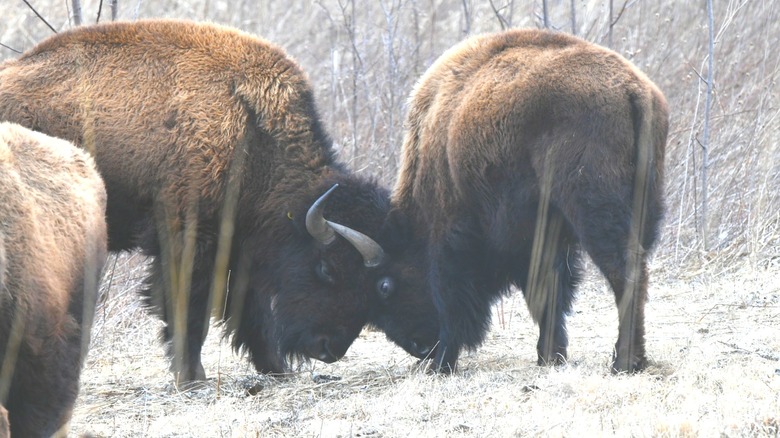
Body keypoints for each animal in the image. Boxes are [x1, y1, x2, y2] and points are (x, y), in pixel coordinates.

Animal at [0, 20, 397, 383]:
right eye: (327, 268)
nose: (329, 349)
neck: (251, 130)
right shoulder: (189, 238)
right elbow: (190, 311)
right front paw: (192, 377)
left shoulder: (238, 248)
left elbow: (248, 313)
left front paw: (276, 370)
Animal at [374, 29, 668, 373]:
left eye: (386, 285)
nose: (420, 348)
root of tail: (632, 89)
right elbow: (550, 295)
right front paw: (550, 356)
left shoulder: (453, 232)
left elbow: (453, 296)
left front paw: (443, 363)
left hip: (594, 213)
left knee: (626, 273)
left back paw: (623, 361)